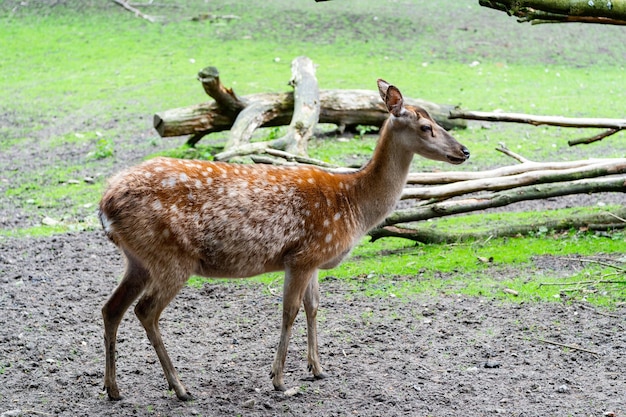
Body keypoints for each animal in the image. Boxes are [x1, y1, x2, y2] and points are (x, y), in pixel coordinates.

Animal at [98, 78, 468, 400]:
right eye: (426, 127)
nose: (464, 151)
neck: (353, 205)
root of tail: (105, 205)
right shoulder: (302, 256)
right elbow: (289, 311)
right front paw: (278, 380)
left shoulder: (315, 259)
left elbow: (313, 307)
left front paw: (317, 368)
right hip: (172, 256)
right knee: (146, 310)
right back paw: (180, 387)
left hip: (138, 259)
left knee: (111, 308)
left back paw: (114, 389)